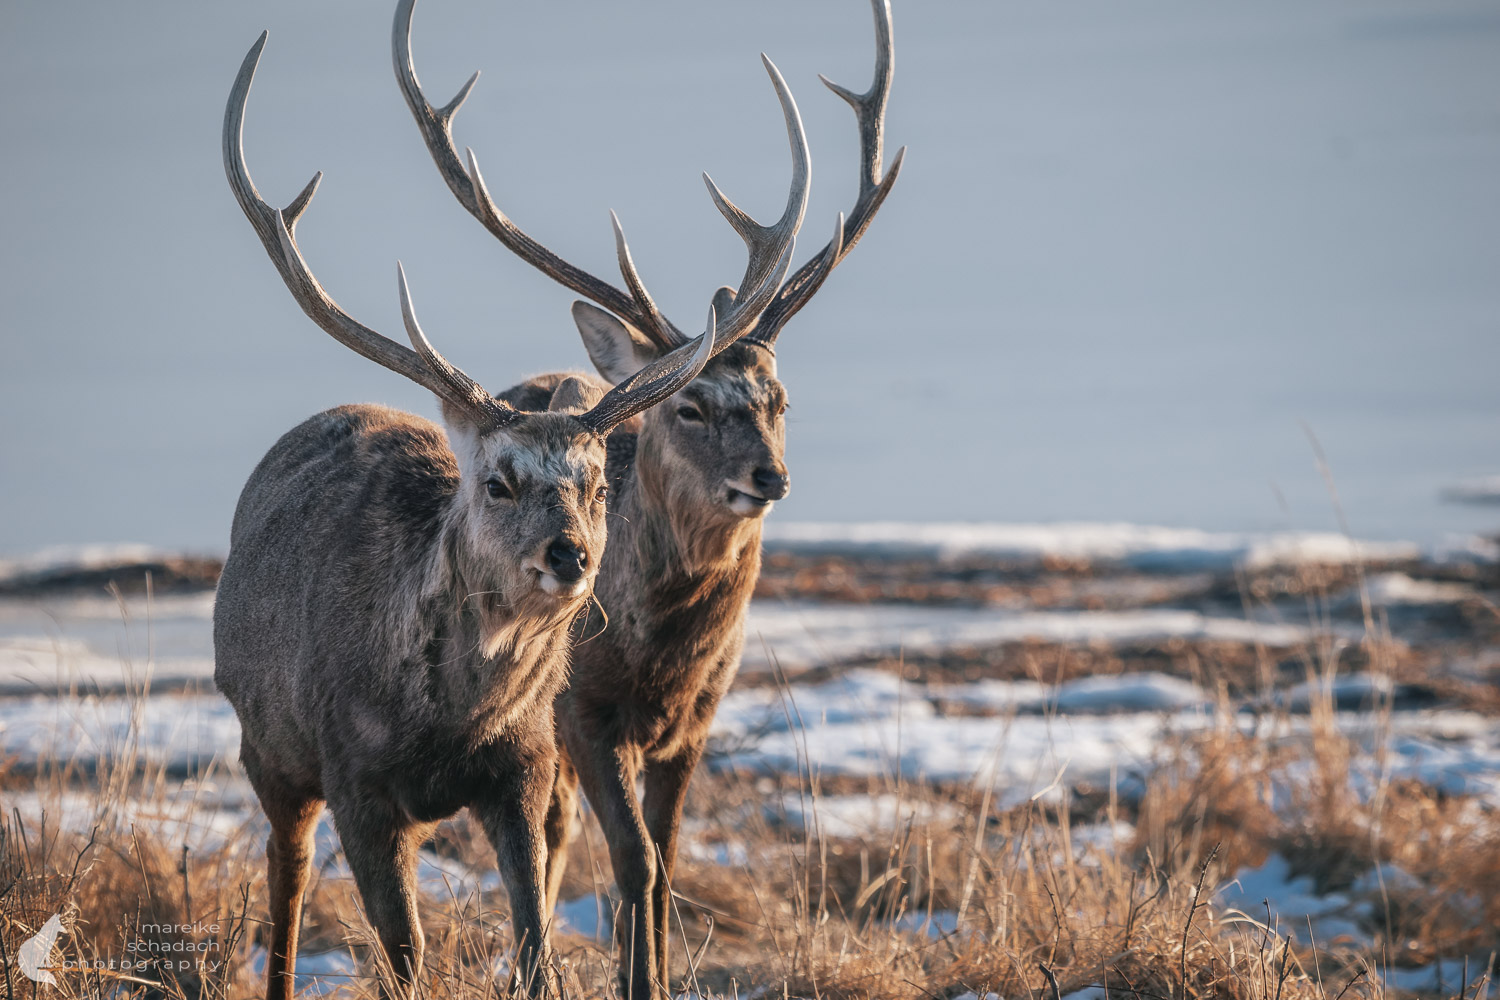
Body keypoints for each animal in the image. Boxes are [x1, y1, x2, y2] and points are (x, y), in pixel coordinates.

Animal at [216, 21, 804, 995]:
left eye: (599, 483)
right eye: (497, 480)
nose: (569, 556)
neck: (444, 722)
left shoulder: (525, 771)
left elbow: (540, 941)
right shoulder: (357, 782)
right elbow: (405, 955)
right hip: (268, 750)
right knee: (285, 880)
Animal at [393, 0, 894, 995]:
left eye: (782, 400)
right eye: (690, 403)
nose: (769, 476)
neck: (662, 654)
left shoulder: (697, 721)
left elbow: (663, 863)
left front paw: (652, 973)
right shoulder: (583, 714)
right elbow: (634, 861)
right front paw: (640, 981)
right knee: (556, 837)